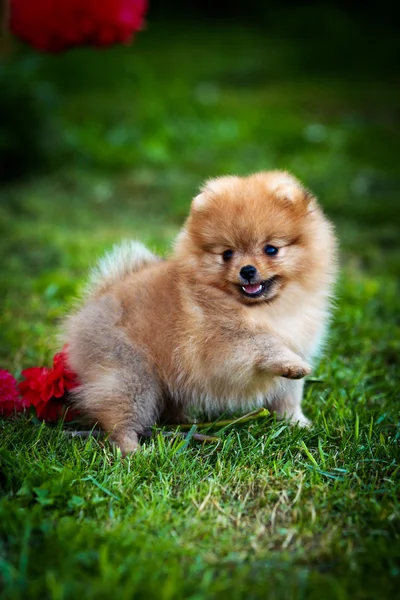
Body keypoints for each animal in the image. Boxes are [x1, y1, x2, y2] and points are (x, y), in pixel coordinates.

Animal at [63, 171, 338, 452]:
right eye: (227, 254)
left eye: (271, 249)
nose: (247, 270)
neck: (266, 309)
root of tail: (96, 299)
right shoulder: (225, 343)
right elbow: (263, 343)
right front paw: (289, 364)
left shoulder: (298, 345)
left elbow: (289, 396)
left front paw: (297, 423)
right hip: (131, 373)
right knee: (117, 415)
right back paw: (132, 451)